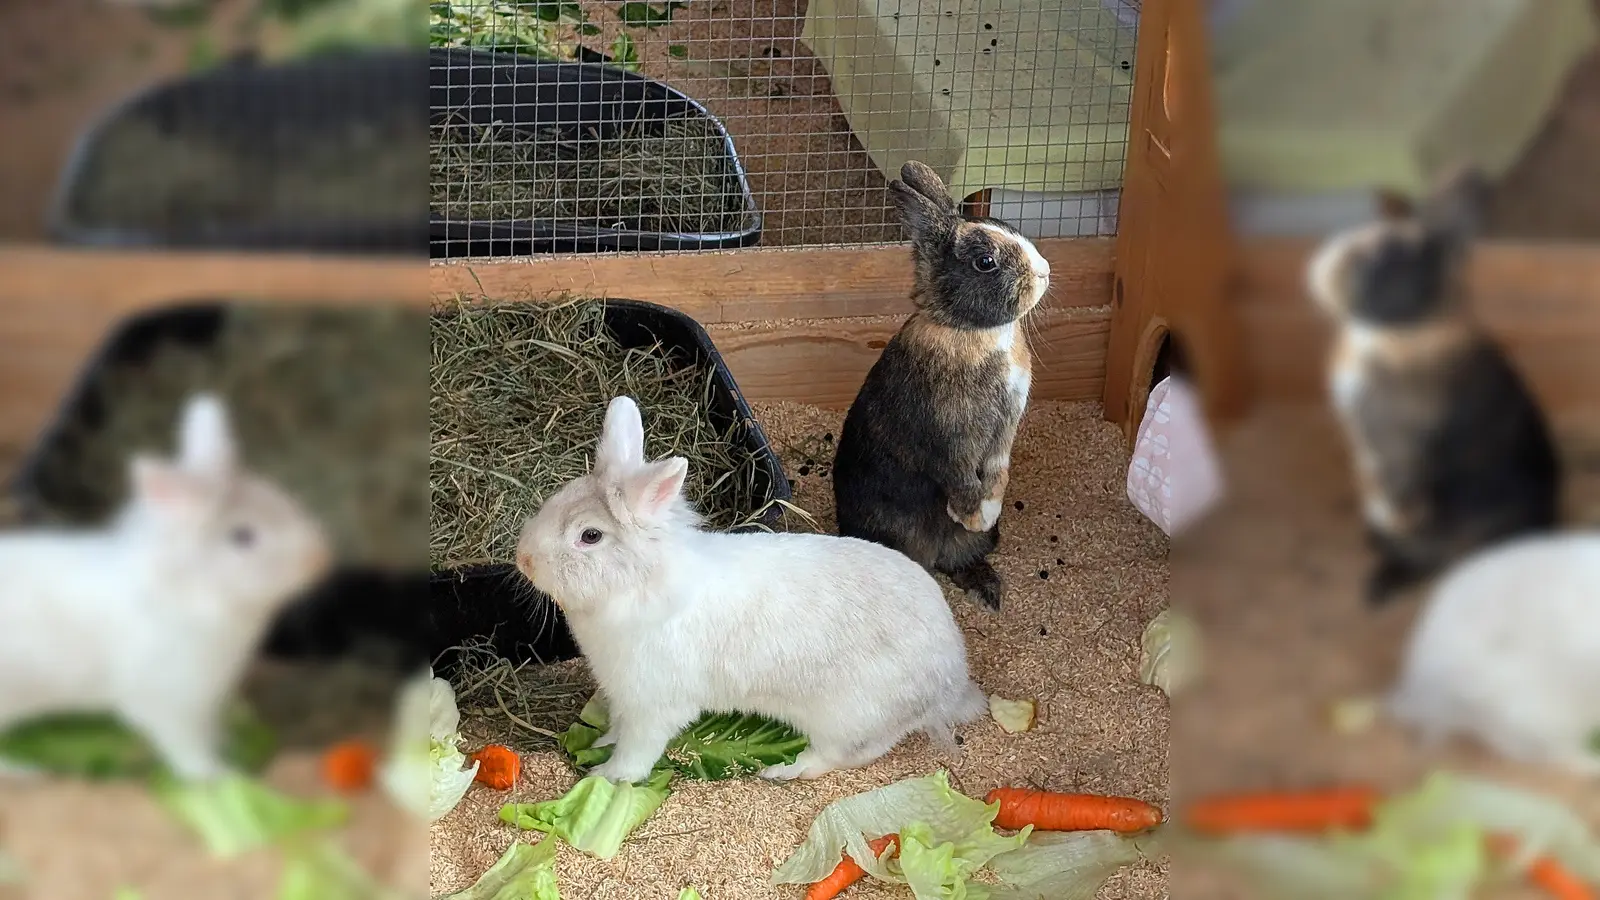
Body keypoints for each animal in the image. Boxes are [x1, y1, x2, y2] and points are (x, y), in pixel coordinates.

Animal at [0, 393, 333, 782]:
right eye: (242, 536)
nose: (321, 559)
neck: (188, 594)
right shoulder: (170, 706)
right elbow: (186, 749)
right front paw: (216, 776)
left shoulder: (206, 702)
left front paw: (229, 746)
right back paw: (25, 770)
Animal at [515, 395, 989, 785]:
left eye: (590, 536)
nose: (524, 559)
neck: (639, 586)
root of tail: (950, 680)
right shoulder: (622, 698)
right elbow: (615, 730)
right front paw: (598, 745)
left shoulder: (654, 707)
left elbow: (636, 753)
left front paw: (606, 777)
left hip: (846, 719)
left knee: (844, 755)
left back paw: (783, 770)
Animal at [832, 161, 1051, 612]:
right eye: (985, 262)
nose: (1044, 272)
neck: (968, 330)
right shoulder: (948, 434)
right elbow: (961, 475)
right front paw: (970, 513)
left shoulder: (1005, 430)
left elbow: (998, 470)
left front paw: (988, 512)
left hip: (966, 548)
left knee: (959, 561)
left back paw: (988, 589)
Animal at [1305, 167, 1560, 607]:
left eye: (1388, 254)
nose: (1322, 268)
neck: (1408, 332)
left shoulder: (1396, 447)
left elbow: (1399, 484)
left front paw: (1402, 515)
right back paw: (1379, 583)